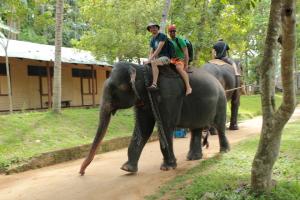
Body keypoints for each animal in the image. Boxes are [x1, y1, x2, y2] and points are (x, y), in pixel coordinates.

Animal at [78, 61, 229, 175]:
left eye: (116, 89)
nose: (81, 172)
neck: (142, 69)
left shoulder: (168, 95)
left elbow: (165, 125)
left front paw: (167, 167)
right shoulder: (143, 100)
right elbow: (143, 128)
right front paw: (127, 169)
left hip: (221, 101)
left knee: (219, 126)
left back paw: (224, 151)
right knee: (196, 128)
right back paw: (193, 158)